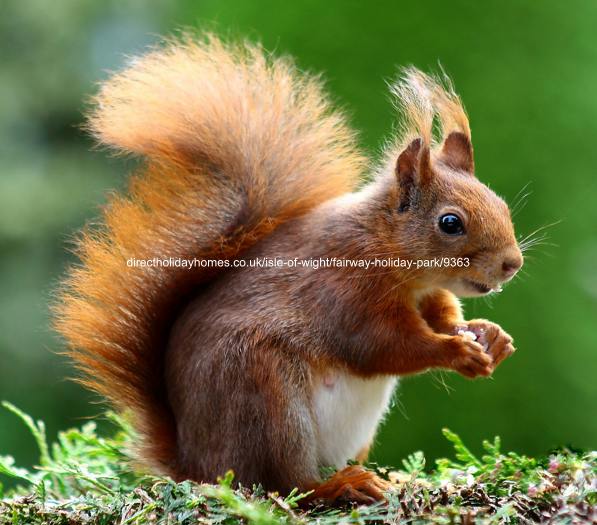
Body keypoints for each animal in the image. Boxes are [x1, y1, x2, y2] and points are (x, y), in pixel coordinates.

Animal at [54, 34, 520, 502]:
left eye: (501, 204)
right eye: (450, 223)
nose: (512, 264)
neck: (393, 257)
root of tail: (195, 465)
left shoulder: (427, 294)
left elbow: (442, 316)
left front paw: (489, 336)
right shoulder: (344, 290)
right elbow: (383, 345)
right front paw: (456, 351)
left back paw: (391, 478)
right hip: (266, 398)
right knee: (285, 484)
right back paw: (339, 485)